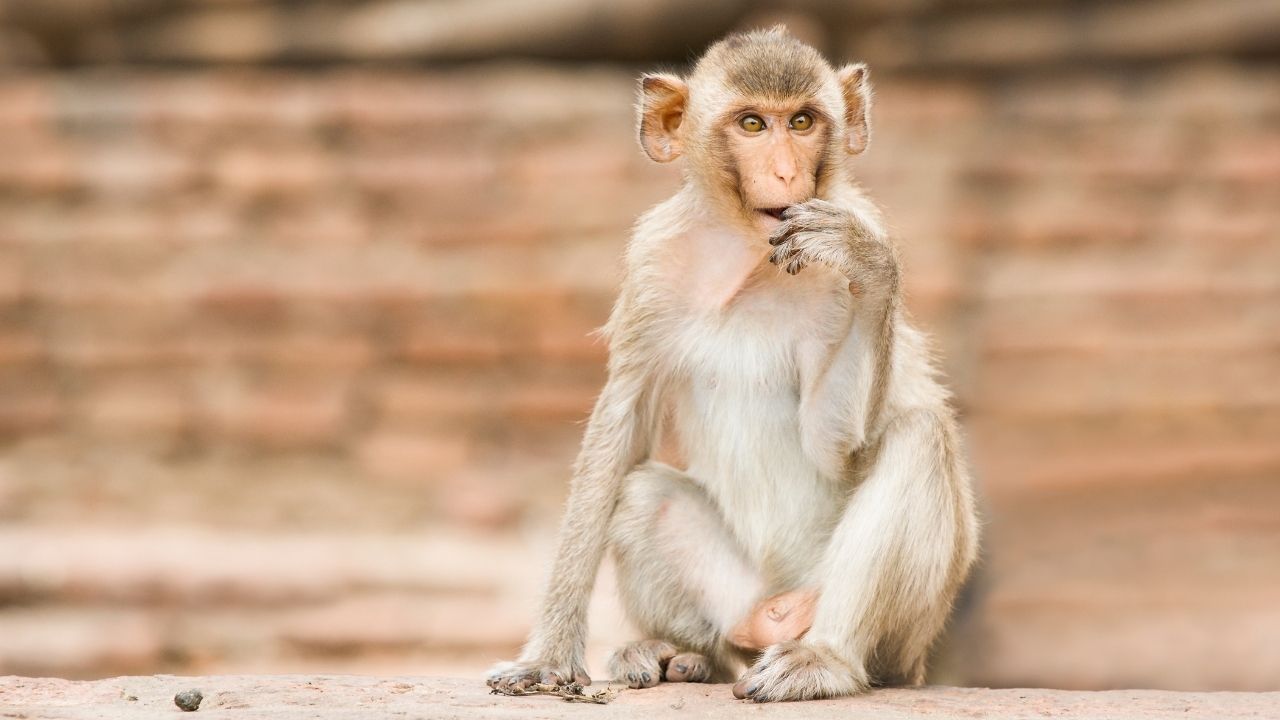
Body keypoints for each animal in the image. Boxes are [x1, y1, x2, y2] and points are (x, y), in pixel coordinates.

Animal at [486, 26, 978, 703]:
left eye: (801, 122)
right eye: (752, 124)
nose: (786, 170)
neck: (748, 258)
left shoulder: (834, 273)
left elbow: (837, 446)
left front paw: (870, 262)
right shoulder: (652, 264)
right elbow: (622, 426)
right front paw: (549, 654)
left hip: (900, 630)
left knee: (920, 438)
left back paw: (823, 657)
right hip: (744, 597)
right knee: (644, 495)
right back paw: (685, 655)